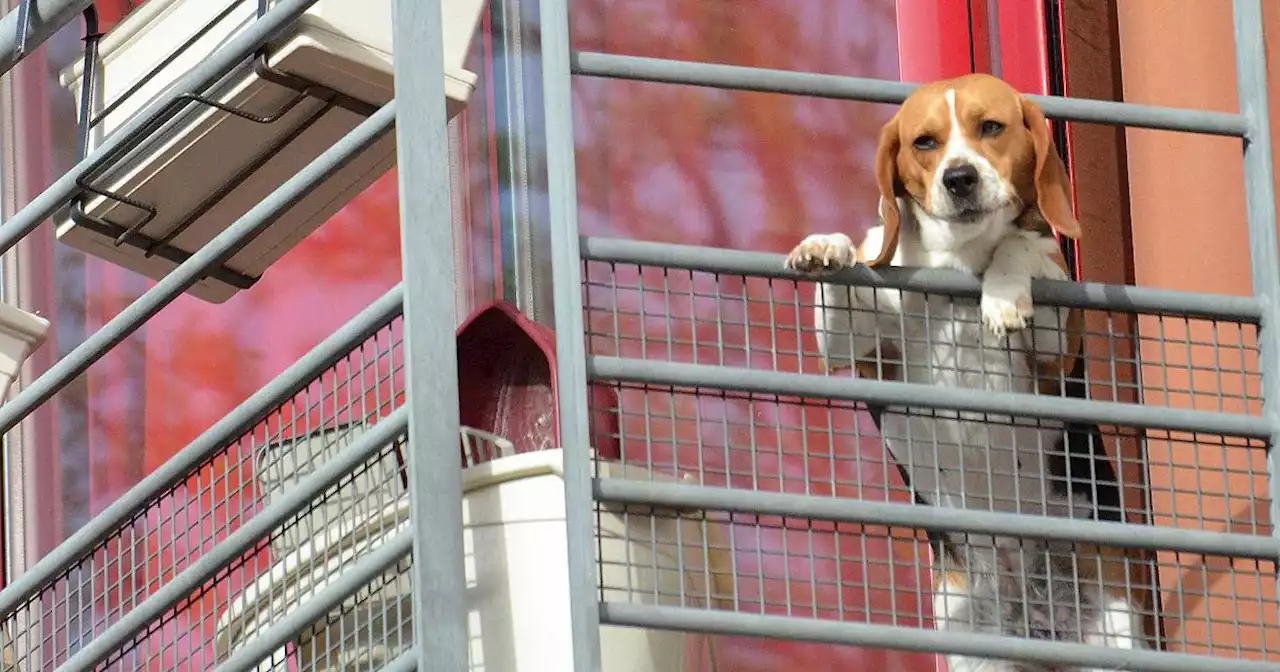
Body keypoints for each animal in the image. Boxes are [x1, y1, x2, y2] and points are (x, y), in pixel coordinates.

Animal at [783, 70, 1146, 665]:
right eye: (924, 142)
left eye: (991, 128)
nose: (959, 178)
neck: (958, 255)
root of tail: (1037, 618)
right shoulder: (859, 349)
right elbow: (849, 287)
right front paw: (826, 248)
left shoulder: (1055, 350)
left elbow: (1020, 245)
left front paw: (1001, 296)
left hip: (1117, 629)